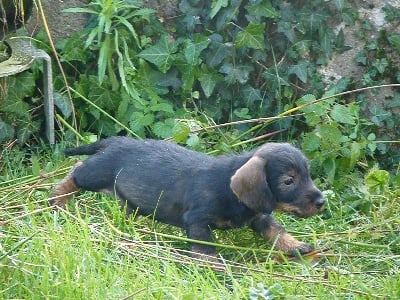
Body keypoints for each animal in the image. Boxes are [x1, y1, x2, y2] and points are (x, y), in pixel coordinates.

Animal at [50, 137, 324, 256]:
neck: (230, 190)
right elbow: (206, 251)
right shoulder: (198, 222)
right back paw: (57, 199)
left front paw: (295, 246)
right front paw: (217, 270)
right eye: (288, 181)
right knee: (76, 170)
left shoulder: (260, 215)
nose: (322, 202)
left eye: (308, 174)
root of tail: (111, 142)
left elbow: (276, 230)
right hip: (96, 174)